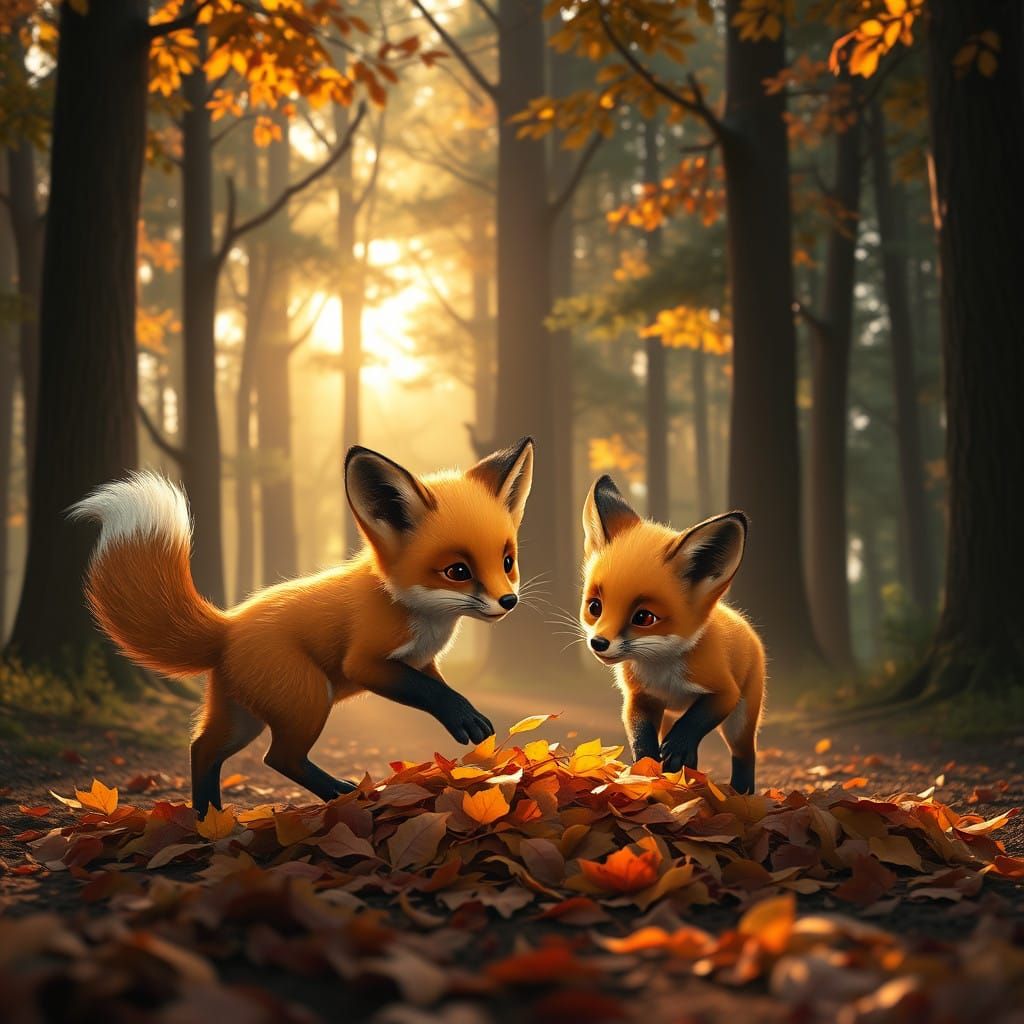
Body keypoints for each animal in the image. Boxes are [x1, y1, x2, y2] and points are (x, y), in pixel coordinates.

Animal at [70, 437, 534, 817]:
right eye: (457, 571)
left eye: (507, 561)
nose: (508, 602)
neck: (413, 610)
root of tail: (226, 627)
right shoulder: (365, 662)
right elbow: (431, 692)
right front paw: (465, 718)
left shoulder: (422, 661)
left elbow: (436, 685)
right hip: (308, 697)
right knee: (278, 758)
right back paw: (339, 792)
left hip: (243, 717)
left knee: (203, 749)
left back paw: (208, 819)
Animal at [578, 475, 765, 794]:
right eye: (595, 607)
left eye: (644, 617)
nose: (598, 643)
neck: (663, 672)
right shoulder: (640, 696)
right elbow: (640, 735)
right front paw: (647, 769)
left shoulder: (723, 691)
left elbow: (694, 722)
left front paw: (676, 748)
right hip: (667, 715)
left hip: (740, 720)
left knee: (744, 754)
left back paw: (741, 793)